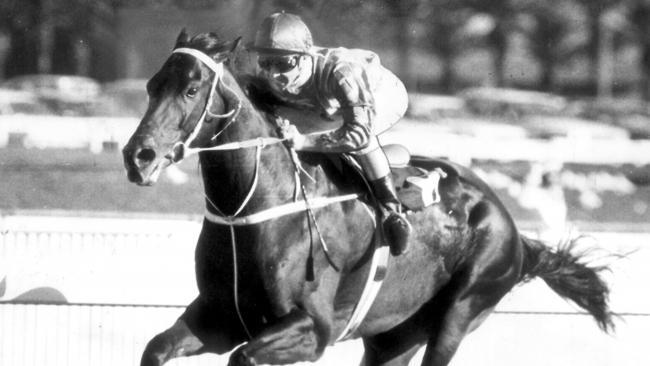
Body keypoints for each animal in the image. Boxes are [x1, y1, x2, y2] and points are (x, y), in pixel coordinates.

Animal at [121, 31, 612, 366]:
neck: (257, 210)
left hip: (461, 313)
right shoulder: (219, 317)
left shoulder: (311, 329)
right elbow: (155, 348)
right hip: (394, 335)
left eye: (190, 89)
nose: (137, 157)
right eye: (151, 86)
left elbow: (244, 355)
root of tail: (512, 228)